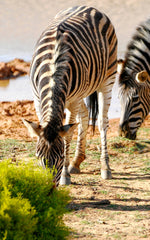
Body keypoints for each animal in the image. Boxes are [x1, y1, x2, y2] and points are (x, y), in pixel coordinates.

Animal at [23, 5, 118, 186]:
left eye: (60, 156)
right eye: (39, 156)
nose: (49, 188)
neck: (53, 69)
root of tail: (90, 7)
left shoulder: (73, 100)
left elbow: (68, 135)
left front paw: (65, 175)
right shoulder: (38, 100)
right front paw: (69, 168)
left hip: (107, 78)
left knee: (102, 122)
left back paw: (105, 167)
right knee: (85, 115)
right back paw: (76, 162)